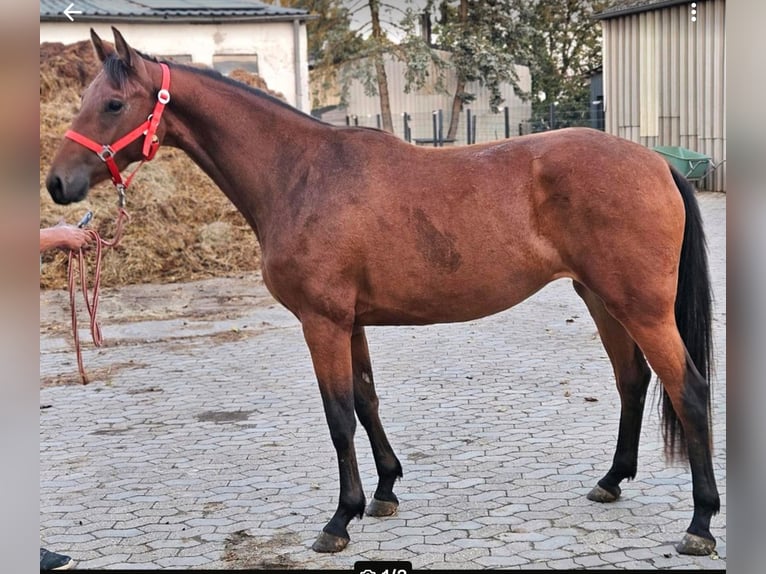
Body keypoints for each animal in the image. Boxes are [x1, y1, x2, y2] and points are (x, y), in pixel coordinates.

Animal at [45, 28, 720, 556]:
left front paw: (339, 520)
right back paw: (612, 481)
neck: (301, 174)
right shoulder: (352, 322)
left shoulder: (321, 321)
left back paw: (700, 522)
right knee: (632, 381)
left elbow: (339, 415)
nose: (58, 184)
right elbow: (367, 401)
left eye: (112, 103)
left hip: (640, 307)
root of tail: (657, 163)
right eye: (86, 99)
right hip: (601, 299)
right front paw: (386, 491)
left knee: (688, 390)